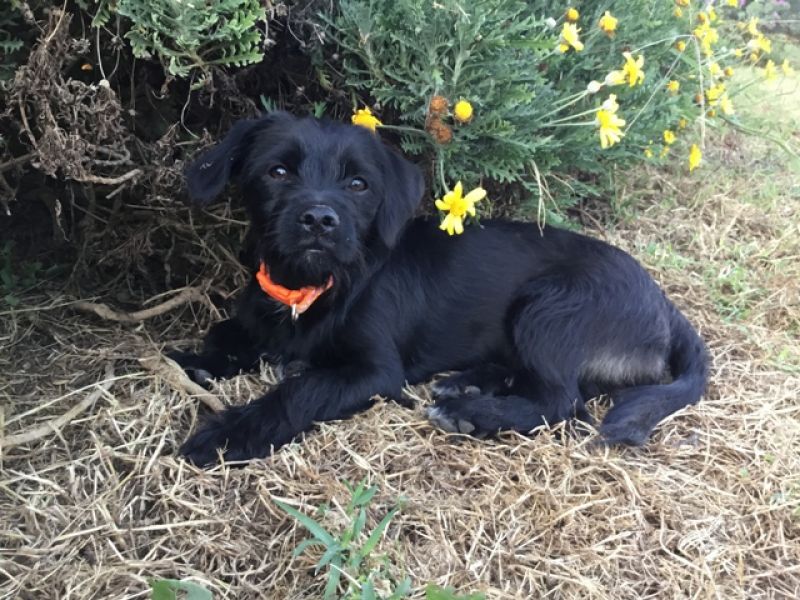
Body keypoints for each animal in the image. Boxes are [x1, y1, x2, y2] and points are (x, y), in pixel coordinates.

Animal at [173, 113, 708, 468]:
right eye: (277, 172)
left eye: (358, 184)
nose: (320, 221)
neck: (317, 290)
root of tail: (665, 306)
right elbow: (225, 335)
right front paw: (194, 360)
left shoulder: (373, 371)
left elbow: (300, 389)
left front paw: (230, 433)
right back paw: (470, 382)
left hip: (549, 306)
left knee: (561, 401)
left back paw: (471, 411)